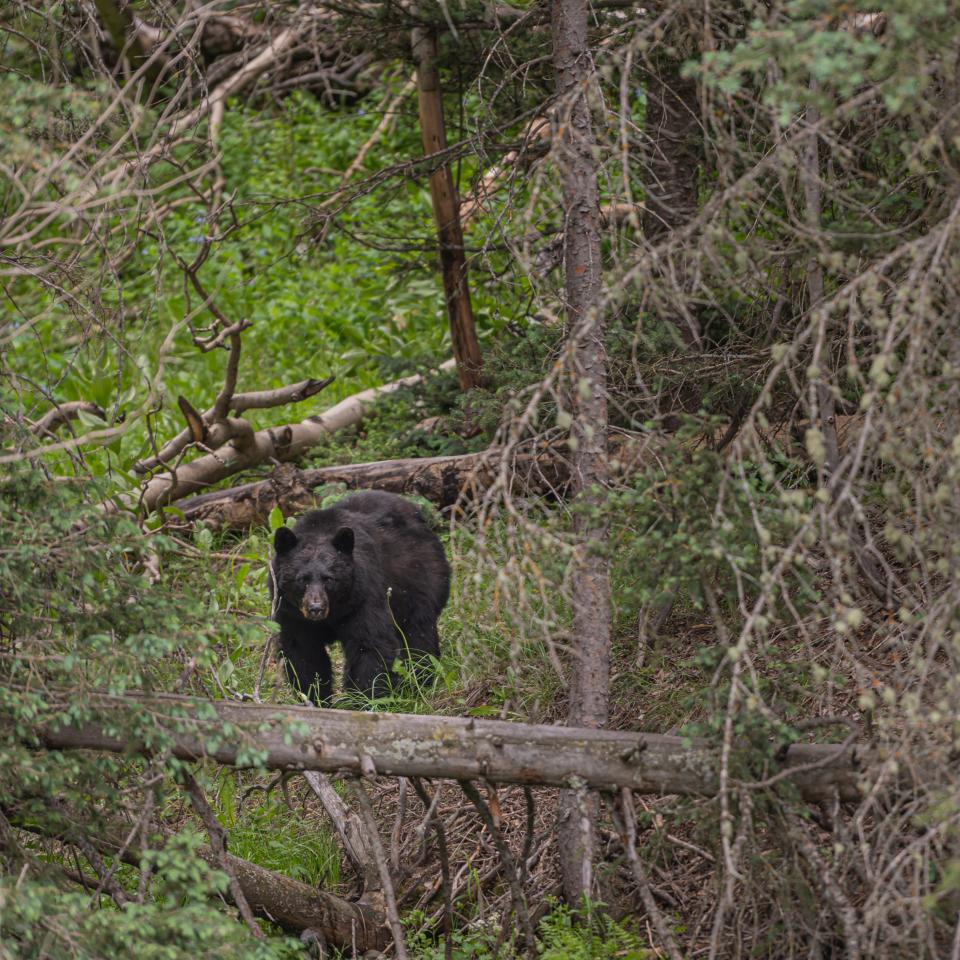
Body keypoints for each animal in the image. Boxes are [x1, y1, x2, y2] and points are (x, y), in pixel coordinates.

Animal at [270, 492, 450, 700]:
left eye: (329, 579)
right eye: (302, 579)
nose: (316, 608)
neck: (335, 611)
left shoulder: (363, 597)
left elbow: (370, 645)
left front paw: (364, 700)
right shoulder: (290, 612)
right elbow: (303, 652)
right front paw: (316, 697)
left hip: (420, 579)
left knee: (418, 633)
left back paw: (421, 680)